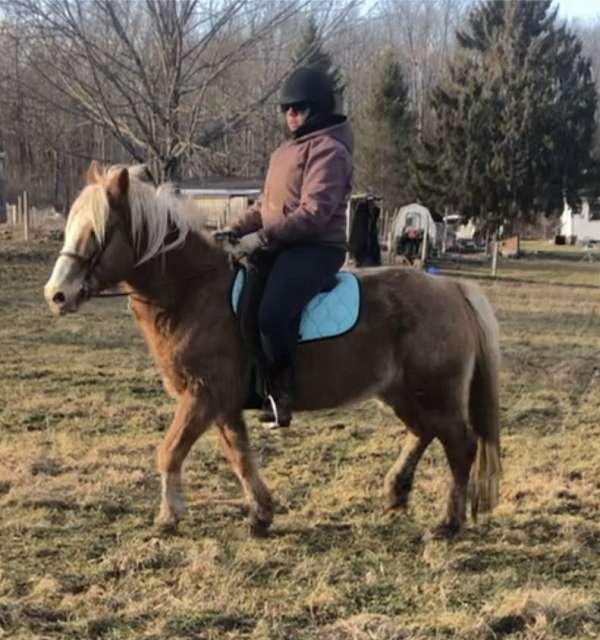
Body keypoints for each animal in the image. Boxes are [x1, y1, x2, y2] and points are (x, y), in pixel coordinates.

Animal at [43, 162, 502, 536]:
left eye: (97, 233)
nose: (56, 295)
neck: (193, 292)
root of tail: (452, 289)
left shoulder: (202, 398)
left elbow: (169, 451)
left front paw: (169, 516)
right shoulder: (221, 405)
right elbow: (240, 456)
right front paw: (260, 514)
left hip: (436, 393)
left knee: (459, 445)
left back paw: (448, 524)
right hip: (402, 392)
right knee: (423, 432)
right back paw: (396, 491)